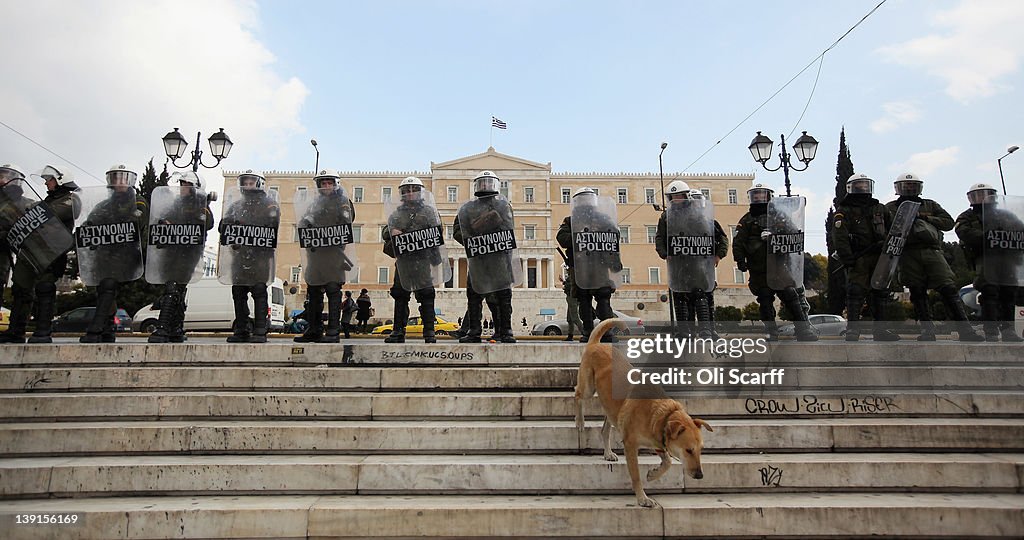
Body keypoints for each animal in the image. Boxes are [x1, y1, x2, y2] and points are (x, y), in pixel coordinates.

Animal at [577, 317, 712, 508]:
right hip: (588, 387)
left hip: (612, 408)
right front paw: (642, 498)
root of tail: (596, 344)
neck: (662, 414)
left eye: (701, 450)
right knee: (577, 394)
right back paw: (579, 421)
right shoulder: (630, 445)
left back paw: (608, 453)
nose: (700, 475)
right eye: (688, 450)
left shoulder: (658, 440)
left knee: (605, 429)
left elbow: (668, 462)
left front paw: (653, 474)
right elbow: (636, 476)